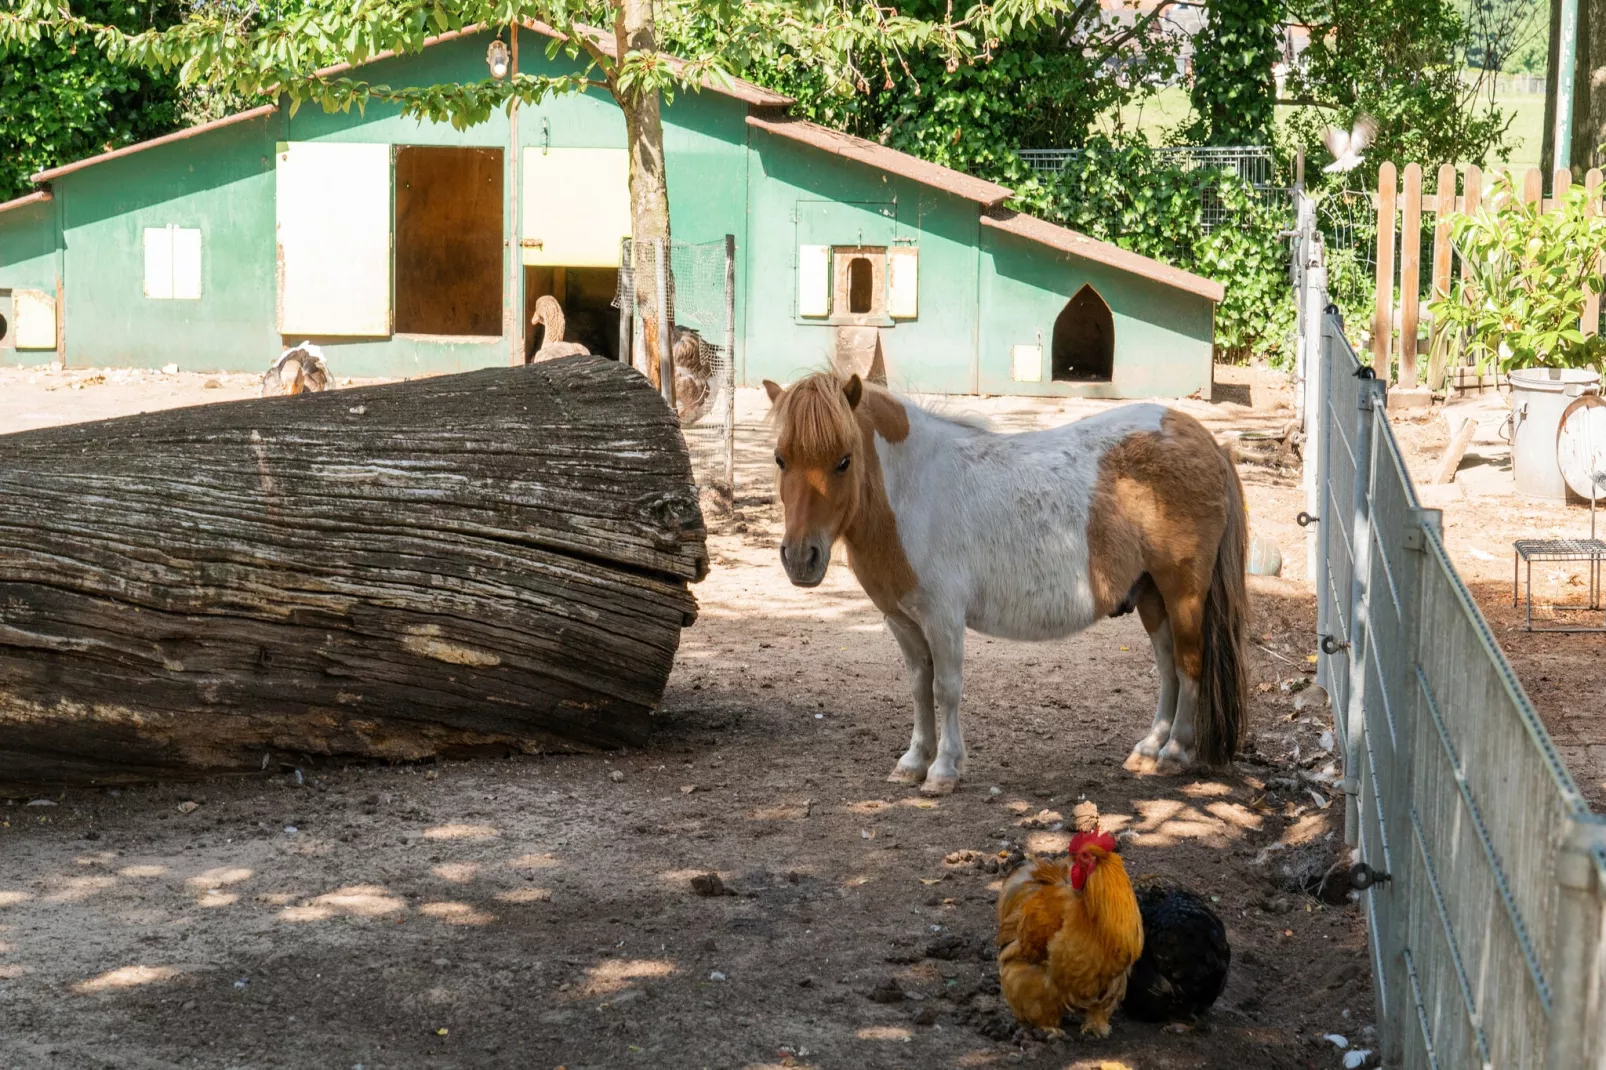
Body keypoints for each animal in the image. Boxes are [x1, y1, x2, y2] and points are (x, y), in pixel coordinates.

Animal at [767, 372, 1252, 790]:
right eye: (780, 459)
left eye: (843, 461)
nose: (801, 557)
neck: (911, 491)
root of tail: (1203, 438)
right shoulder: (902, 621)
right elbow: (920, 688)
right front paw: (913, 761)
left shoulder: (943, 618)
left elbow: (946, 688)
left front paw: (943, 769)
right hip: (1151, 593)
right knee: (1169, 666)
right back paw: (1149, 748)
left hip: (1183, 591)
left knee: (1189, 664)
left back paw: (1175, 752)